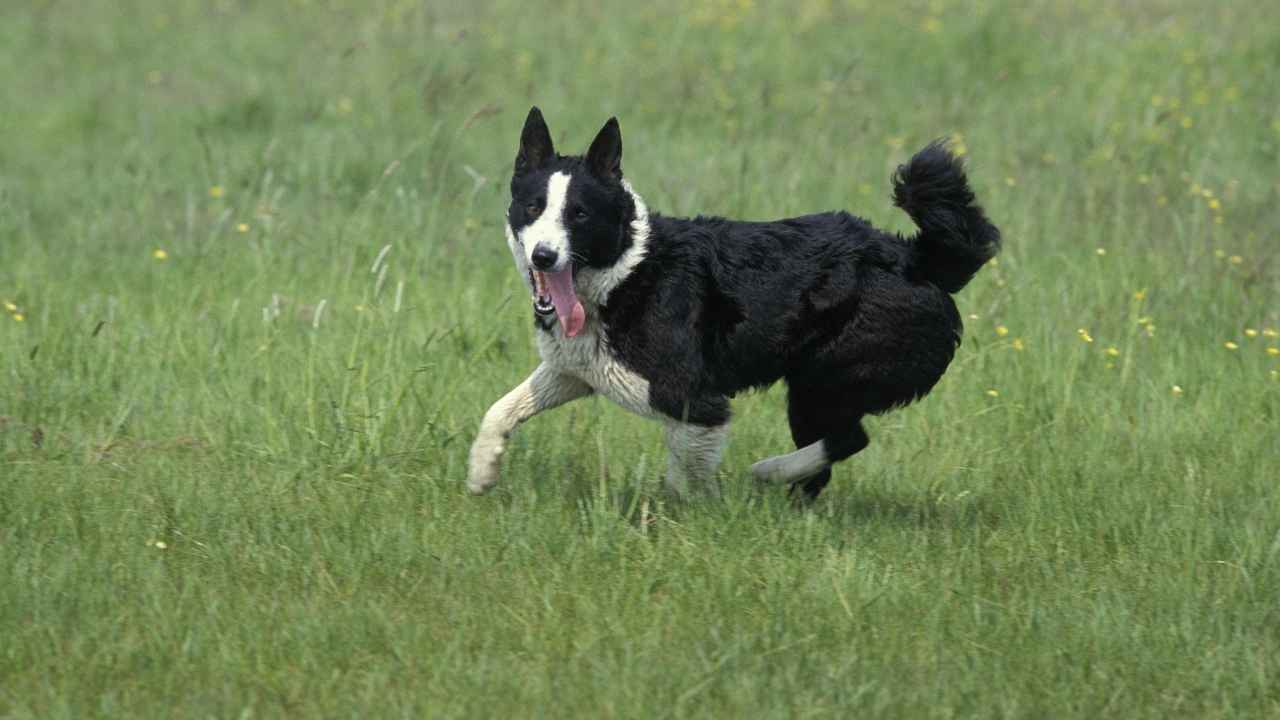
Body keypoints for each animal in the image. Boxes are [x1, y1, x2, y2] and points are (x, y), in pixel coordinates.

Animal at [471, 107, 998, 499]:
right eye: (533, 208)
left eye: (579, 215)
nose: (544, 255)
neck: (624, 271)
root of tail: (920, 258)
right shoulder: (575, 369)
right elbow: (500, 409)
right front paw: (481, 472)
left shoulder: (692, 398)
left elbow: (686, 475)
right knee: (829, 460)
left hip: (823, 376)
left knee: (848, 438)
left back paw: (768, 472)